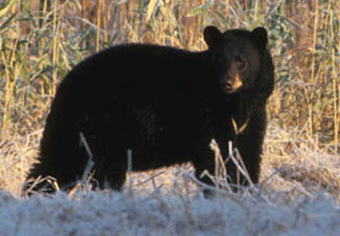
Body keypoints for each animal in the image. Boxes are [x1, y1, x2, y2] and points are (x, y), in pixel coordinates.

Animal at [23, 25, 274, 195]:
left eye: (241, 60)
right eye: (218, 58)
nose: (227, 82)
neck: (236, 103)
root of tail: (65, 84)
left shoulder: (253, 120)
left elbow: (247, 159)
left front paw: (245, 191)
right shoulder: (208, 118)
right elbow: (213, 161)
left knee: (57, 163)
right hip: (98, 128)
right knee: (76, 165)